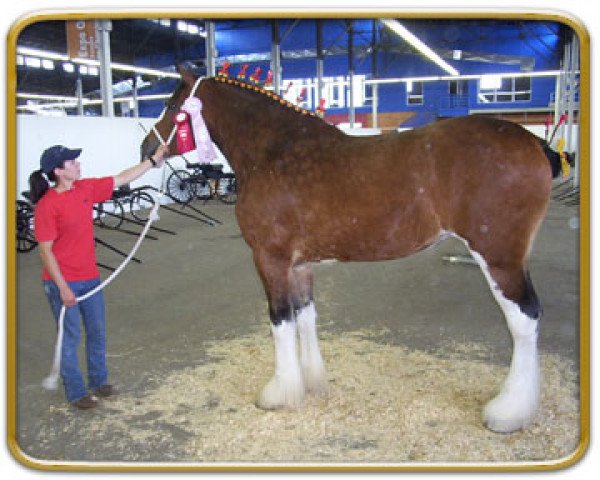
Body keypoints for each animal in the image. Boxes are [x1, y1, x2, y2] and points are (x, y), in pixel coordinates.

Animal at [141, 65, 552, 434]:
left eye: (171, 102)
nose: (146, 148)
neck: (273, 151)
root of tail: (532, 141)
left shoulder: (270, 260)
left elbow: (280, 321)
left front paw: (278, 395)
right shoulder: (299, 265)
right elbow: (305, 316)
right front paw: (311, 383)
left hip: (499, 259)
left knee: (524, 320)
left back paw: (507, 413)